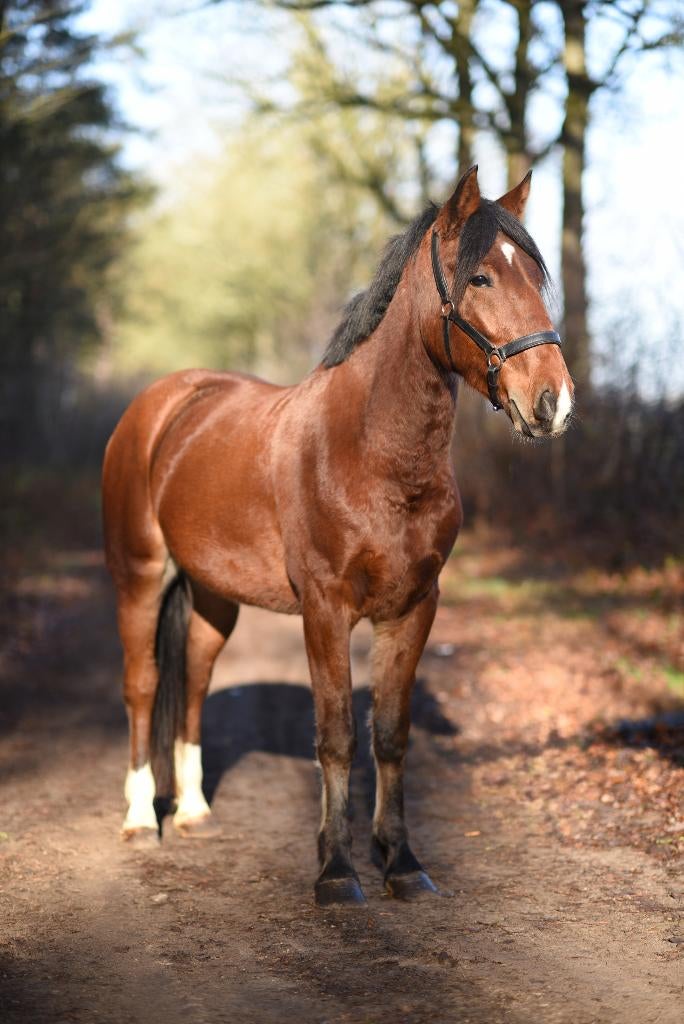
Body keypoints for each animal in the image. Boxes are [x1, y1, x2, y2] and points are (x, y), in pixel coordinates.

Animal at [102, 165, 573, 907]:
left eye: (534, 273)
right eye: (481, 278)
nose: (554, 401)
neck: (371, 453)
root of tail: (164, 402)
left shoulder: (412, 609)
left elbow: (391, 735)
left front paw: (402, 861)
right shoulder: (325, 609)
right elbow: (336, 737)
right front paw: (336, 870)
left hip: (212, 595)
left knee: (198, 676)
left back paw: (196, 813)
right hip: (140, 577)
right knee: (143, 683)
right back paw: (138, 819)